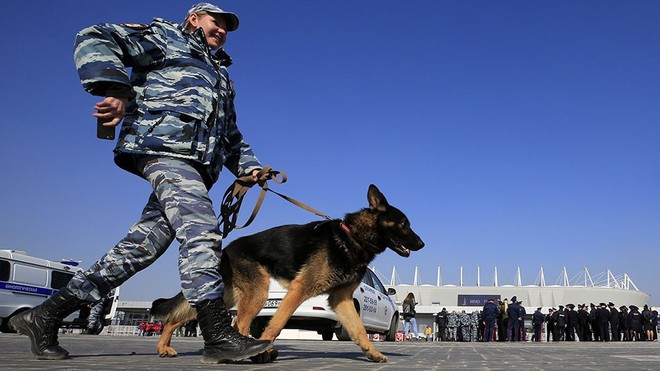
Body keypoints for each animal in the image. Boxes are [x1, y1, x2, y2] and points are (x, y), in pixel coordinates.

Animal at [151, 186, 422, 364]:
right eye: (404, 224)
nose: (422, 243)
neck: (352, 236)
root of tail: (226, 249)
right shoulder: (299, 290)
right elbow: (275, 325)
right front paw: (264, 350)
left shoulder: (341, 300)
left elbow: (359, 330)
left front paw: (372, 353)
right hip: (257, 294)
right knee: (239, 325)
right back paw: (251, 354)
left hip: (230, 297)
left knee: (179, 318)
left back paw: (164, 347)